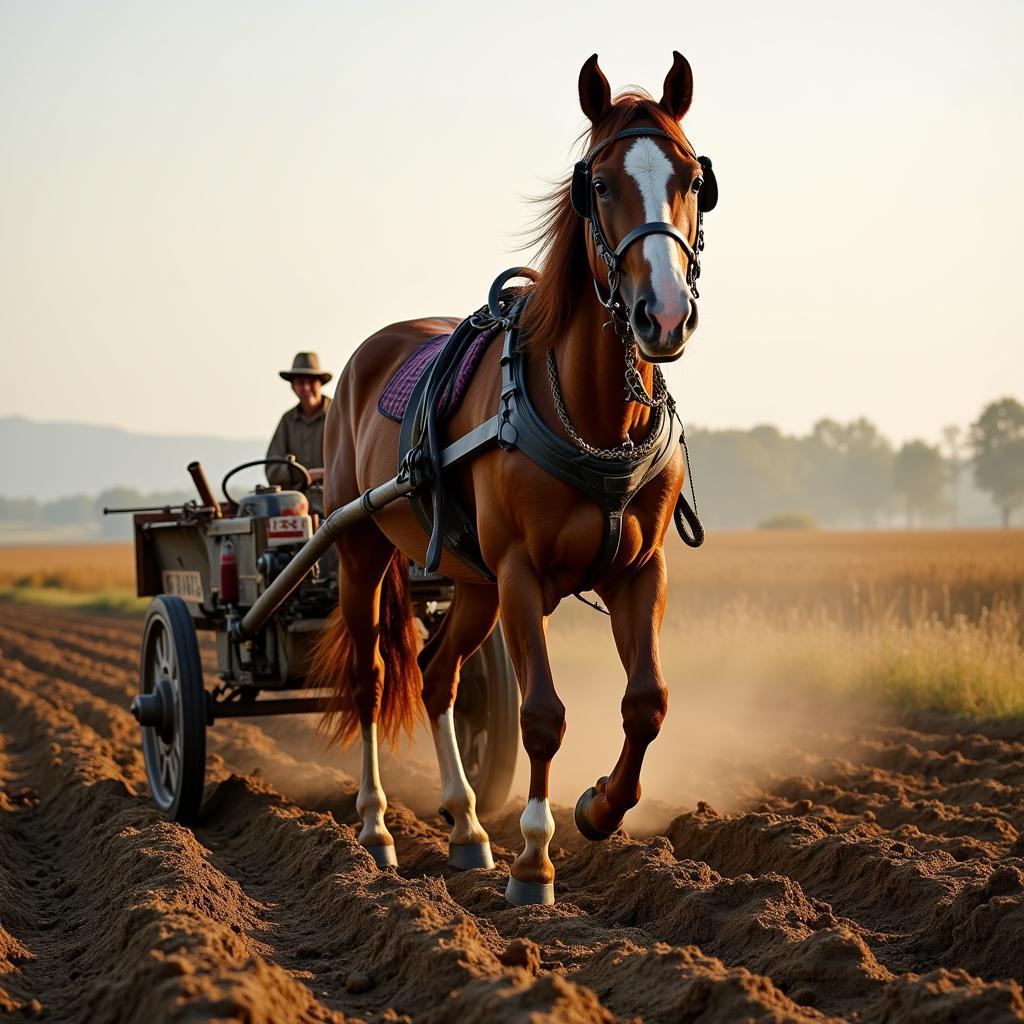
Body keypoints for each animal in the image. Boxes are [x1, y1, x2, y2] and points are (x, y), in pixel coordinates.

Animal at [313, 54, 720, 905]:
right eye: (599, 183)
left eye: (694, 179)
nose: (664, 315)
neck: (597, 418)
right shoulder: (522, 573)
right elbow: (542, 714)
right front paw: (535, 857)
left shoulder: (640, 570)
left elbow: (647, 703)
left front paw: (599, 807)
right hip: (363, 548)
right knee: (372, 683)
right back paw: (376, 830)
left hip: (472, 584)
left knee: (436, 679)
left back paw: (467, 827)